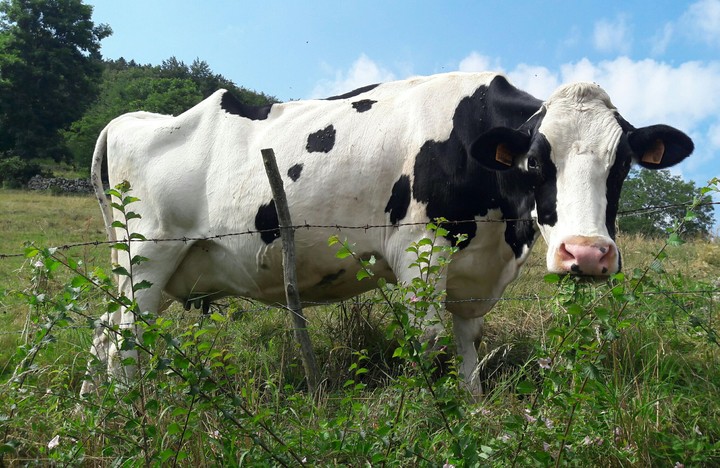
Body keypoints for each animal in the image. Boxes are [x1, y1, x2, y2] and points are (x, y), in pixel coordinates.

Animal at [81, 72, 694, 395]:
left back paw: (97, 406)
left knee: (104, 332)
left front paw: (472, 404)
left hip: (143, 271)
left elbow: (468, 344)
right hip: (149, 256)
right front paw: (430, 415)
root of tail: (132, 119)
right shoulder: (419, 253)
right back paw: (126, 409)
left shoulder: (475, 271)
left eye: (622, 165)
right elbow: (427, 342)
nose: (586, 255)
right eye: (537, 161)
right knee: (124, 342)